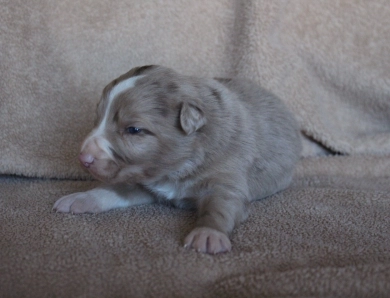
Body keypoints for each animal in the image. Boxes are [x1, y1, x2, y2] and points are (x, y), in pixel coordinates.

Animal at [52, 65, 302, 254]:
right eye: (97, 120)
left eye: (133, 129)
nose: (83, 158)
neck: (175, 170)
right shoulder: (144, 180)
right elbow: (115, 189)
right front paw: (81, 198)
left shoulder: (228, 173)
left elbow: (223, 204)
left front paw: (208, 233)